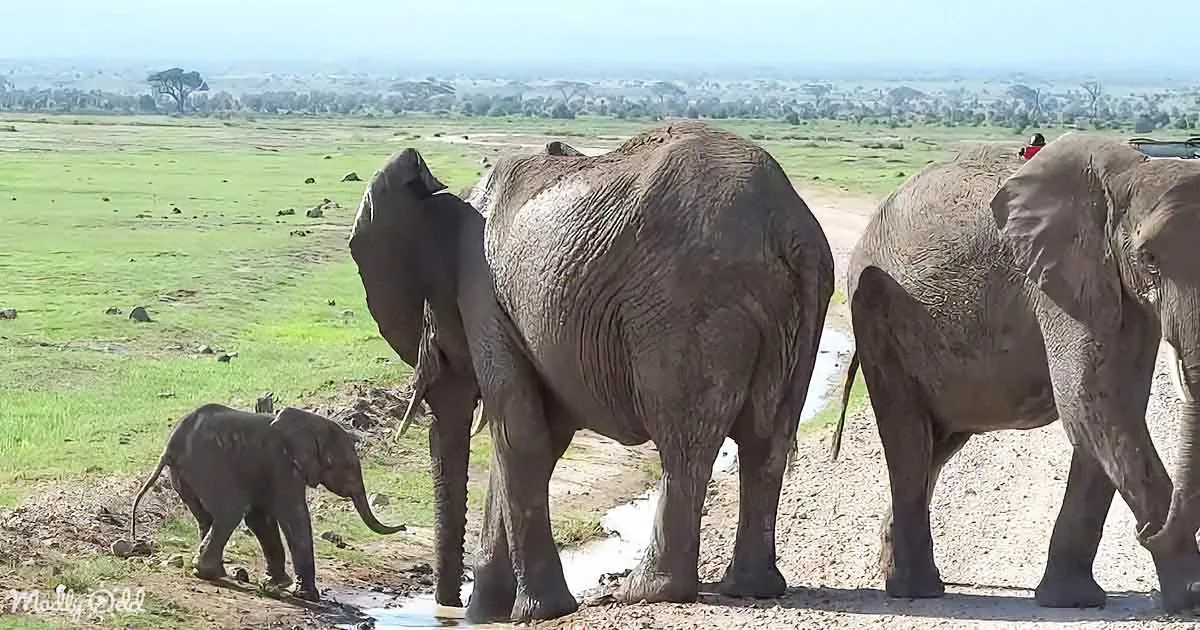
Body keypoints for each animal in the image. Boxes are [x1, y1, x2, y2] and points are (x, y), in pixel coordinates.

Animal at [130, 403, 405, 601]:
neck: (311, 423)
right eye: (348, 466)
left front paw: (278, 584)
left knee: (207, 518)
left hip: (186, 477)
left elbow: (261, 519)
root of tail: (170, 448)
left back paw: (214, 572)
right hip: (210, 468)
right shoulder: (282, 465)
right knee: (230, 513)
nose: (403, 527)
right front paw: (308, 596)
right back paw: (208, 572)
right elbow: (293, 516)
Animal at [349, 121, 835, 622]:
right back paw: (751, 588)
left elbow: (520, 435)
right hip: (796, 314)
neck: (453, 198)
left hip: (689, 309)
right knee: (766, 443)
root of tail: (785, 222)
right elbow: (539, 439)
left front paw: (531, 613)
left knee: (686, 446)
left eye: (430, 332)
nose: (447, 607)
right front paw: (487, 614)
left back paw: (644, 592)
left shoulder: (482, 293)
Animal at [832, 132, 1200, 612]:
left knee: (935, 446)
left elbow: (1112, 410)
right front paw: (1190, 594)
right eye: (1150, 259)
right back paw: (917, 589)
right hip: (878, 317)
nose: (1146, 533)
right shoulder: (1061, 279)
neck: (1133, 169)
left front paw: (1073, 601)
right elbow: (1092, 402)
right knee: (908, 441)